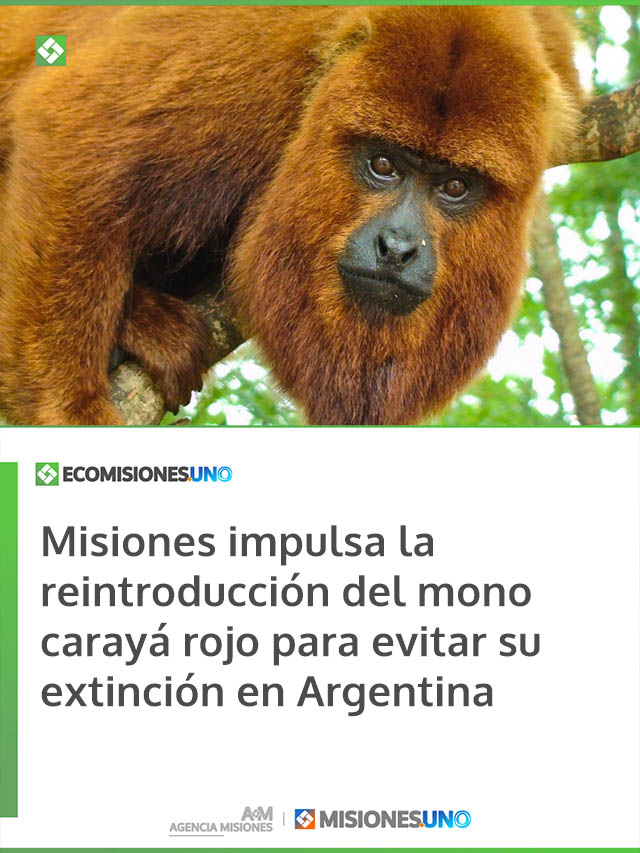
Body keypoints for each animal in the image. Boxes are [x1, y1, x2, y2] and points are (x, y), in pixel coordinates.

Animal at [0, 6, 582, 425]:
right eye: (383, 164)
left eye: (456, 187)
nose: (396, 248)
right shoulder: (244, 55)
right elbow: (69, 136)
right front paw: (71, 413)